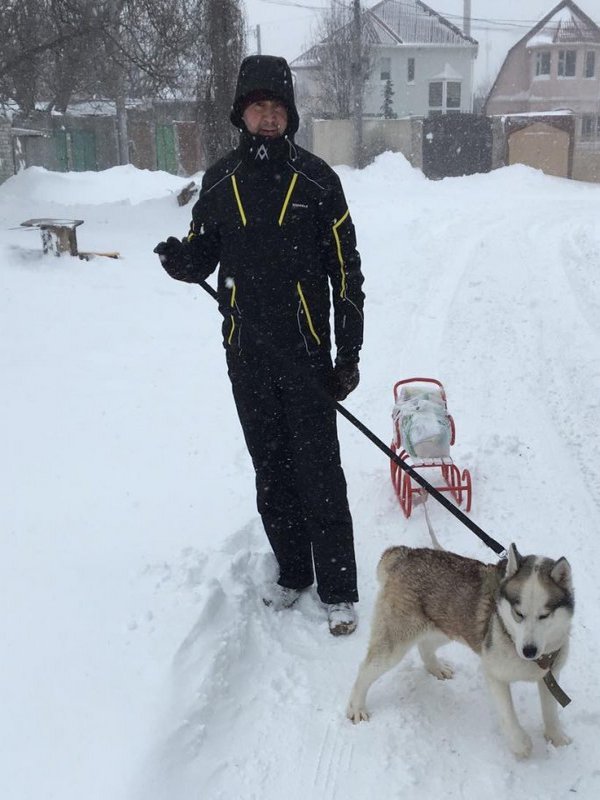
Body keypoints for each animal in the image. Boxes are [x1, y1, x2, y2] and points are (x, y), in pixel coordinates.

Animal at [344, 544, 576, 756]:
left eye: (544, 615)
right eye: (518, 613)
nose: (529, 650)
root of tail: (404, 552)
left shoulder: (550, 675)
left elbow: (550, 711)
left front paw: (556, 738)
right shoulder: (494, 673)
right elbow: (508, 715)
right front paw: (521, 744)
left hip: (447, 628)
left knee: (424, 646)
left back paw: (436, 668)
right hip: (396, 643)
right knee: (365, 669)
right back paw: (357, 708)